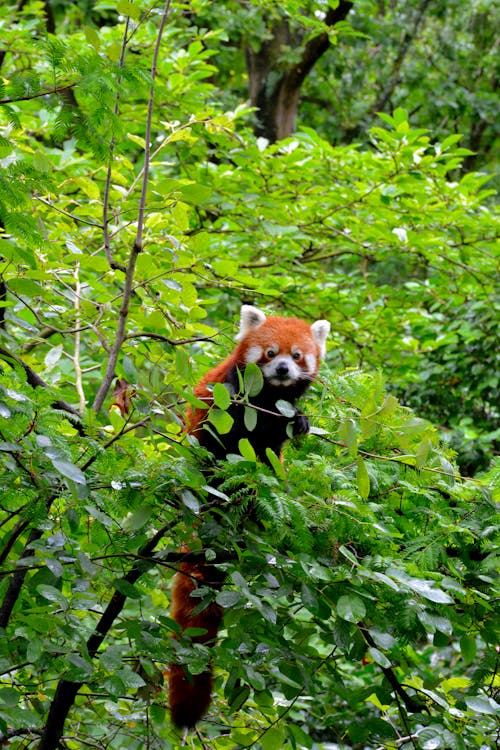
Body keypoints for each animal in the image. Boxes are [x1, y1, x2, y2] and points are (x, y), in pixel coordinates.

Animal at [170, 304, 330, 728]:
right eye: (270, 353)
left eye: (297, 356)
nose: (283, 370)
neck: (270, 398)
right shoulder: (231, 395)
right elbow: (230, 429)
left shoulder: (277, 419)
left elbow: (280, 438)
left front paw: (300, 421)